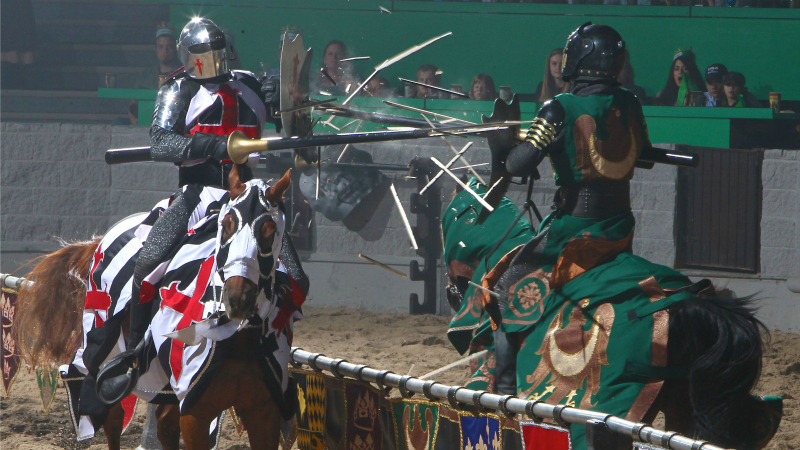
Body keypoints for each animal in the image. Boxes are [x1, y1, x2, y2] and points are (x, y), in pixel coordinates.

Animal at [14, 166, 296, 450]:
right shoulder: (195, 414)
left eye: (269, 231)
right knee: (114, 419)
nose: (238, 298)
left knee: (164, 424)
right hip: (105, 348)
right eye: (226, 226)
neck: (235, 339)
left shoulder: (263, 414)